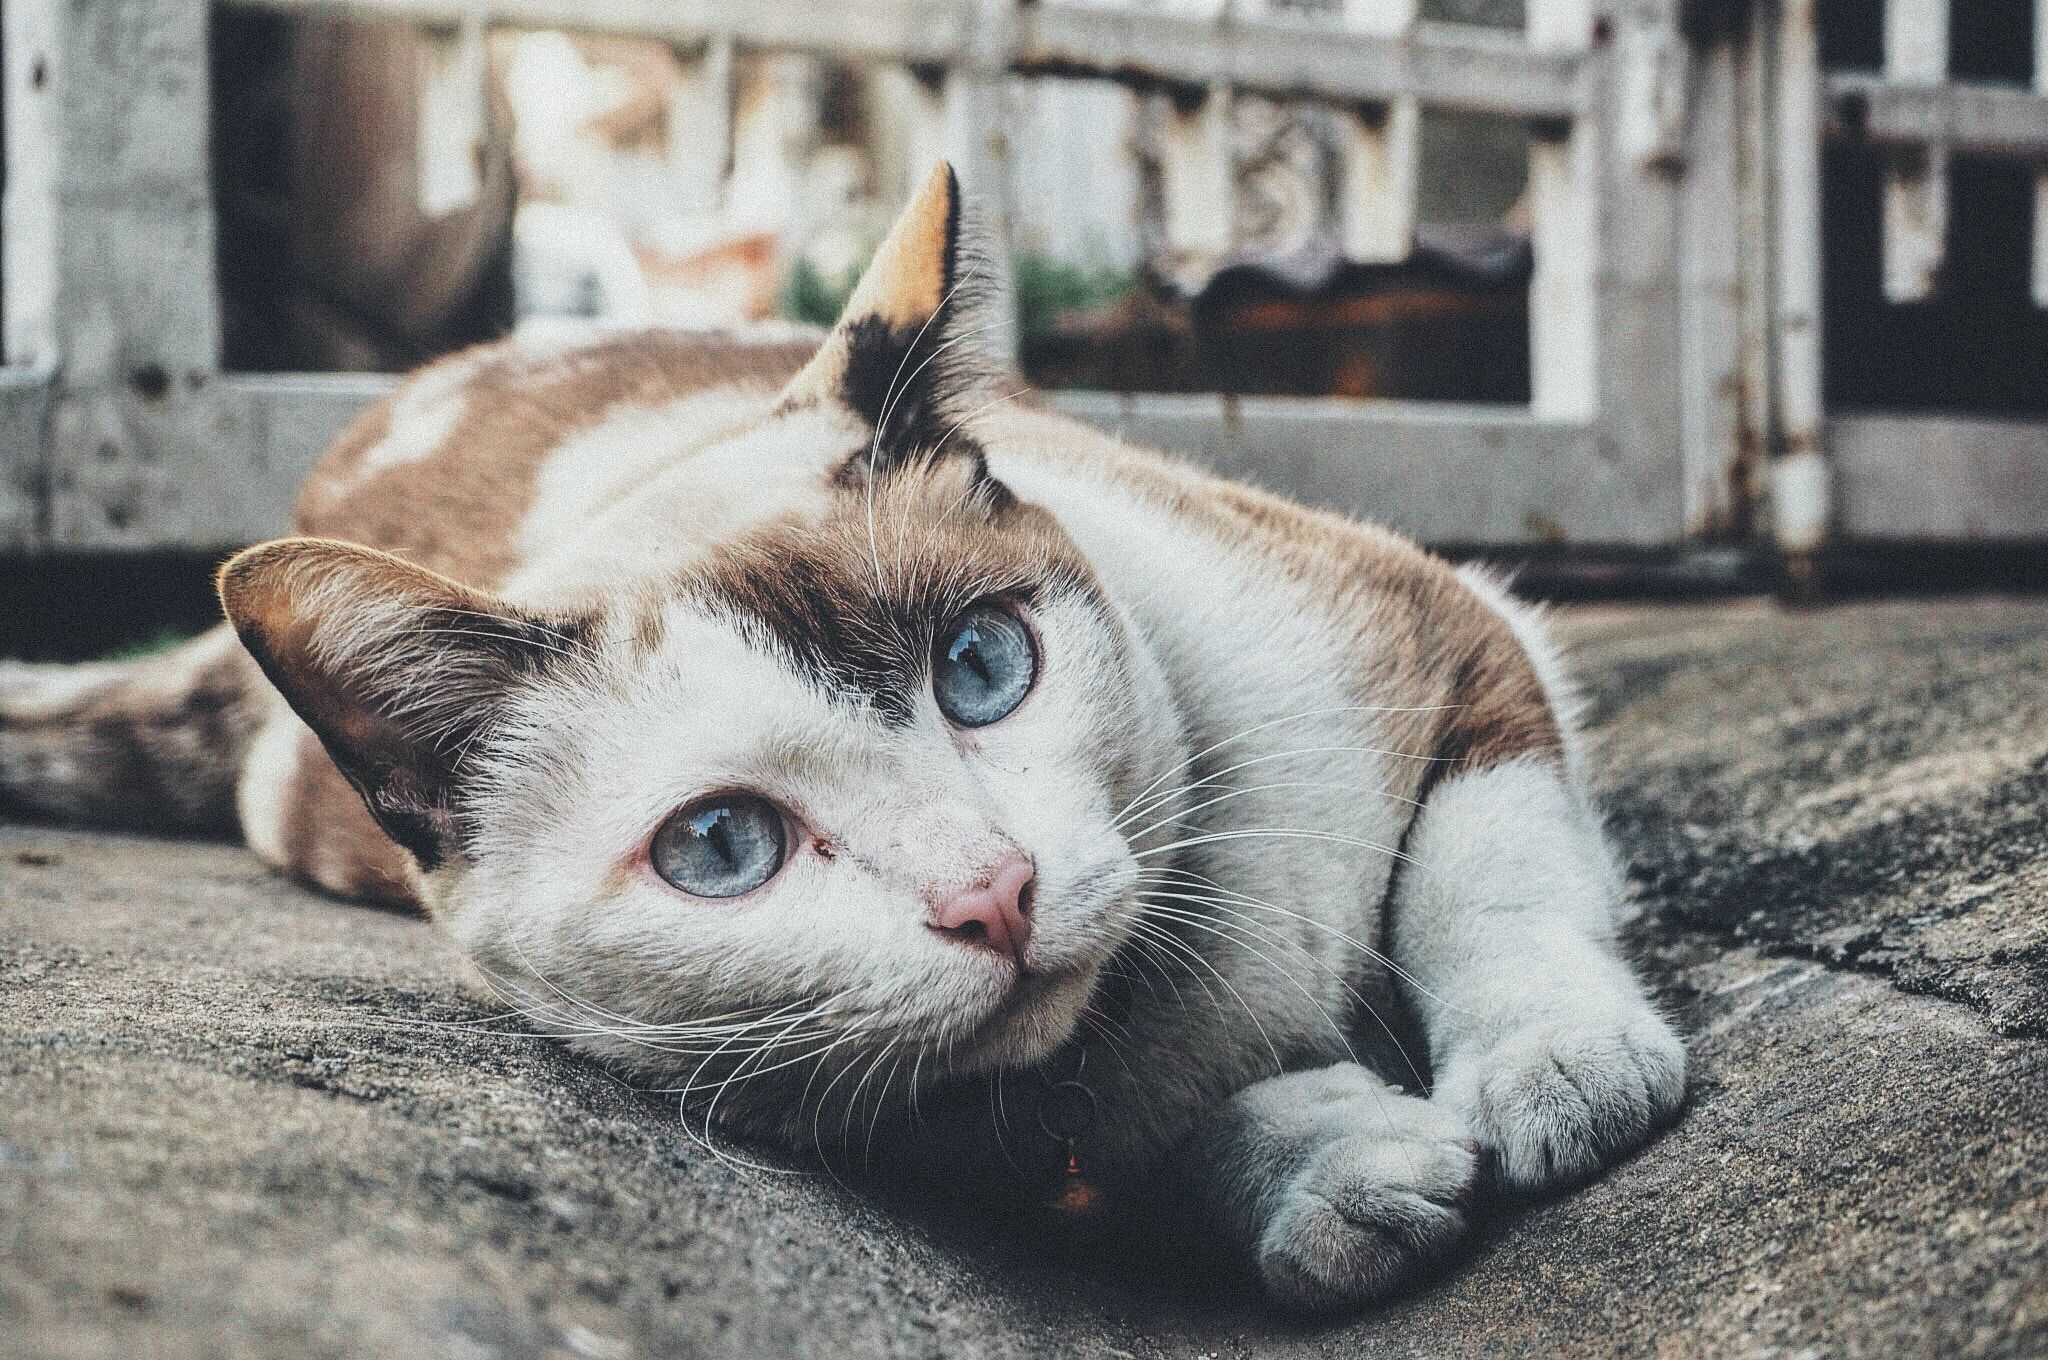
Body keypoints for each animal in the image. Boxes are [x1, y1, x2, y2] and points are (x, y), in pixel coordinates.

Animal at [0, 164, 1679, 1310]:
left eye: (983, 667)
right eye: (721, 846)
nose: (993, 896)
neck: (1167, 997)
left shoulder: (1436, 621)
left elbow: (1486, 872)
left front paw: (1556, 1067)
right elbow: (1156, 1158)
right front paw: (1329, 1172)